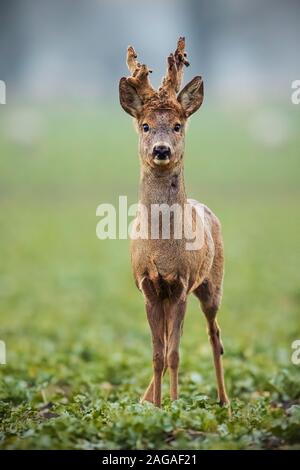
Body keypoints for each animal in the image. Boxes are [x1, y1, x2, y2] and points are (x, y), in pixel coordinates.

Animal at [118, 37, 229, 408]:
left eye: (178, 125)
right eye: (146, 126)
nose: (162, 150)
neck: (162, 250)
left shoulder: (181, 285)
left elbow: (175, 354)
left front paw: (176, 406)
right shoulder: (149, 288)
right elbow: (157, 354)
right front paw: (155, 407)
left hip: (212, 284)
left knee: (215, 335)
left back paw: (224, 402)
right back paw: (146, 398)